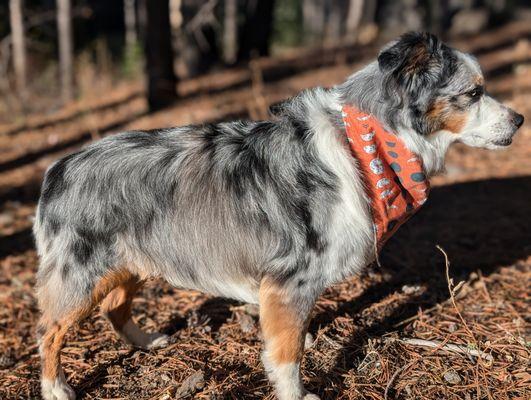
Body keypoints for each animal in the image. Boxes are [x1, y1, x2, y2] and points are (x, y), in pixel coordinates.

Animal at [35, 32, 524, 400]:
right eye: (474, 93)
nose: (520, 119)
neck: (365, 143)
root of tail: (58, 168)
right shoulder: (290, 279)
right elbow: (286, 354)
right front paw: (297, 392)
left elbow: (290, 337)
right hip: (82, 274)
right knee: (49, 331)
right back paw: (55, 387)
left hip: (131, 260)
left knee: (114, 308)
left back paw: (146, 342)